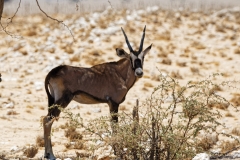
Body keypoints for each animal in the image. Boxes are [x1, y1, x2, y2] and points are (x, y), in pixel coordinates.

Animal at [42, 25, 152, 159]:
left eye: (142, 57)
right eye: (130, 58)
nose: (139, 72)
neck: (120, 73)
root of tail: (53, 71)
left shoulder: (111, 104)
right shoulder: (114, 103)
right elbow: (115, 127)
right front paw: (117, 152)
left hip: (53, 100)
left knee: (46, 119)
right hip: (62, 100)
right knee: (47, 120)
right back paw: (50, 155)